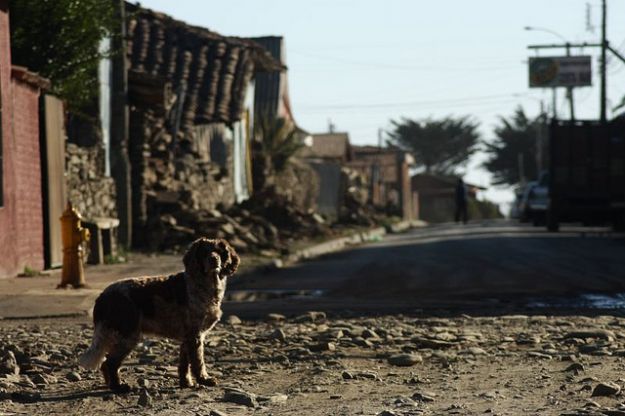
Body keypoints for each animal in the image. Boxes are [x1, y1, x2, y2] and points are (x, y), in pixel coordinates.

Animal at [78, 237, 239, 394]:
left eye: (219, 251)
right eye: (204, 252)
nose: (214, 259)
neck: (204, 284)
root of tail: (103, 296)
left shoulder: (188, 336)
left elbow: (184, 364)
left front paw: (186, 383)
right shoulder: (195, 335)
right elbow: (198, 362)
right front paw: (204, 379)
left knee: (105, 363)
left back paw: (110, 385)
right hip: (128, 335)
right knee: (109, 363)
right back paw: (118, 387)